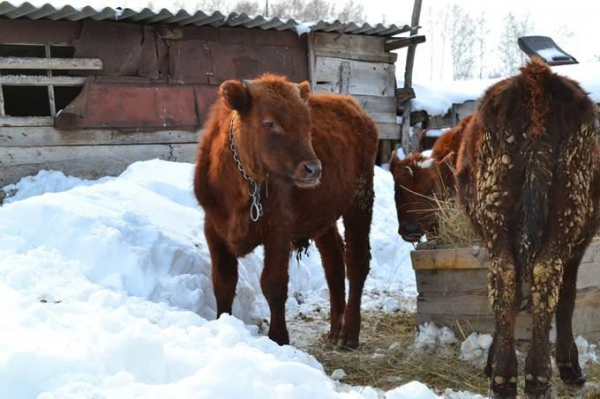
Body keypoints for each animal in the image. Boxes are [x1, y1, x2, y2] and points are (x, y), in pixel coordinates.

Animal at [195, 73, 378, 348]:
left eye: (307, 123)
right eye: (269, 123)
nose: (313, 169)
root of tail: (352, 107)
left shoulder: (279, 229)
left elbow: (273, 283)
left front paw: (279, 338)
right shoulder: (214, 229)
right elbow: (223, 282)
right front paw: (223, 324)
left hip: (360, 201)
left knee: (356, 261)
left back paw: (349, 333)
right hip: (322, 215)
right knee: (333, 260)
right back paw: (335, 329)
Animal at [454, 57, 600, 398]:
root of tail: (536, 79)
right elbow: (568, 296)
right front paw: (570, 366)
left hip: (499, 212)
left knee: (506, 276)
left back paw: (506, 377)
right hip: (566, 209)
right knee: (545, 276)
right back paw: (536, 376)